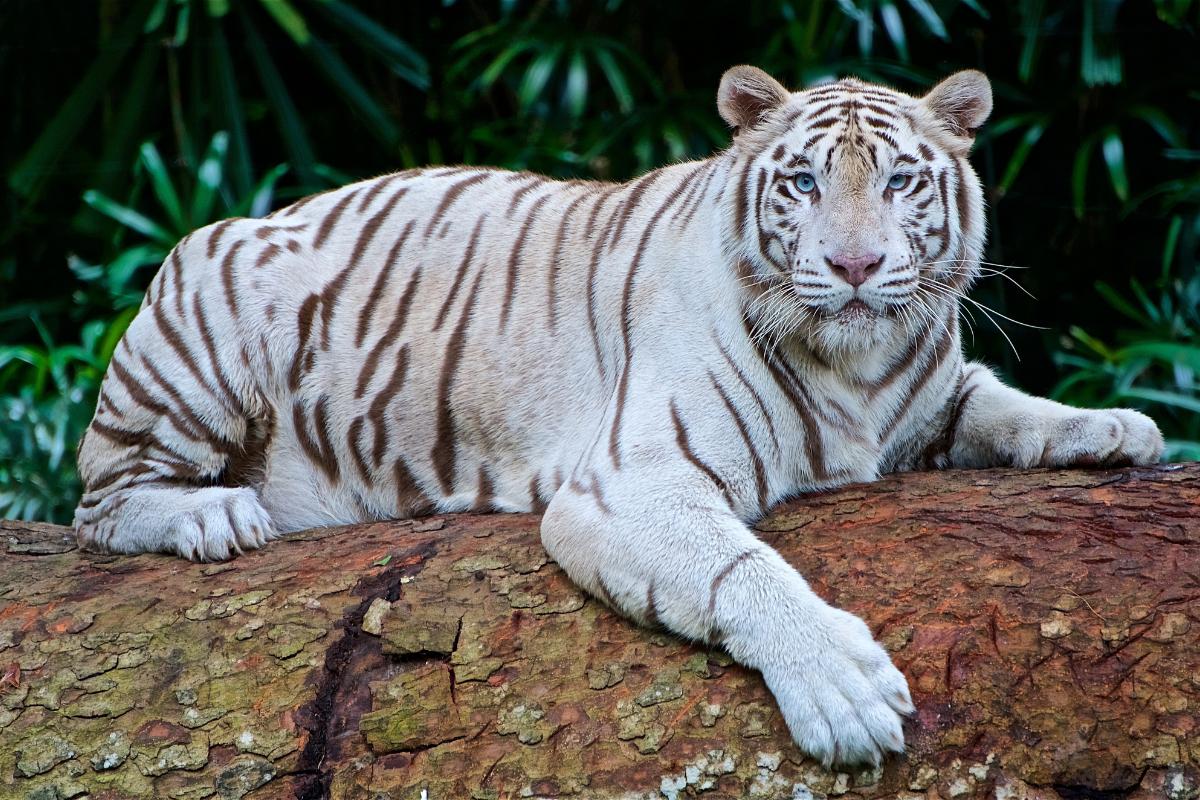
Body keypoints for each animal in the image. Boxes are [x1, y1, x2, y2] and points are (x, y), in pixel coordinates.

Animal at [73, 66, 1164, 766]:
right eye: (804, 181)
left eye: (899, 180)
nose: (854, 266)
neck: (859, 365)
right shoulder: (635, 481)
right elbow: (744, 569)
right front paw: (845, 692)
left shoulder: (931, 397)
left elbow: (1004, 403)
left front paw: (1119, 426)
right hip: (205, 315)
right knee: (100, 502)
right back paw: (213, 515)